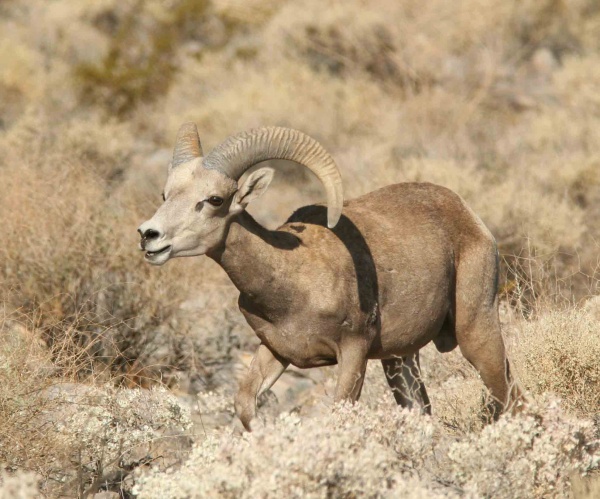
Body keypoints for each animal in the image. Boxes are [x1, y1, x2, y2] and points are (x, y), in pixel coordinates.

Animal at [139, 124, 520, 430]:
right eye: (165, 194)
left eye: (215, 199)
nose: (149, 236)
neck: (293, 278)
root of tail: (468, 216)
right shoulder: (275, 351)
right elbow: (245, 404)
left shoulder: (353, 351)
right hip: (400, 360)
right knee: (423, 408)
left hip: (475, 333)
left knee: (507, 394)